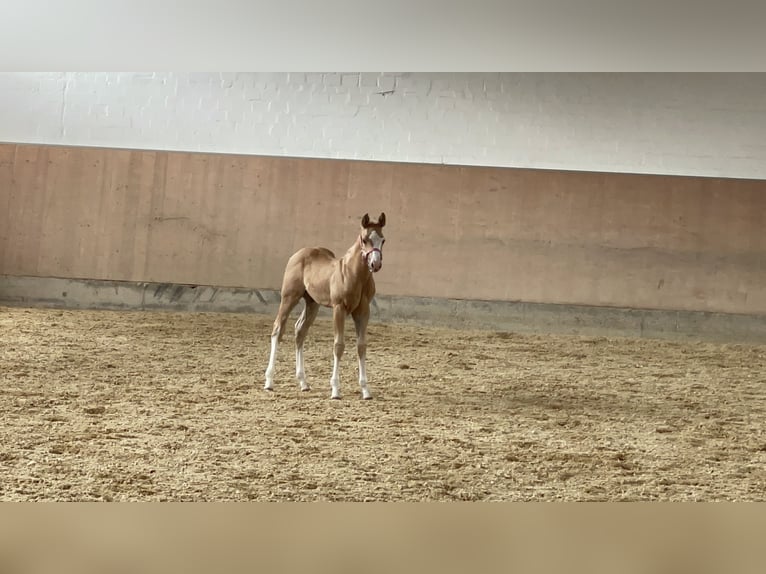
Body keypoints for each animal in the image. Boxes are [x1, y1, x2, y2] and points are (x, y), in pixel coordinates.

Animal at [264, 212, 386, 399]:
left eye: (383, 240)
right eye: (365, 239)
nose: (375, 264)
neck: (354, 275)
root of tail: (298, 254)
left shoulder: (363, 310)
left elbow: (361, 346)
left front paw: (365, 390)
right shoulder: (339, 308)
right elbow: (338, 346)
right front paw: (335, 390)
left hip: (312, 303)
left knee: (300, 331)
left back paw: (303, 383)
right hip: (289, 297)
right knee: (278, 329)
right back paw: (269, 381)